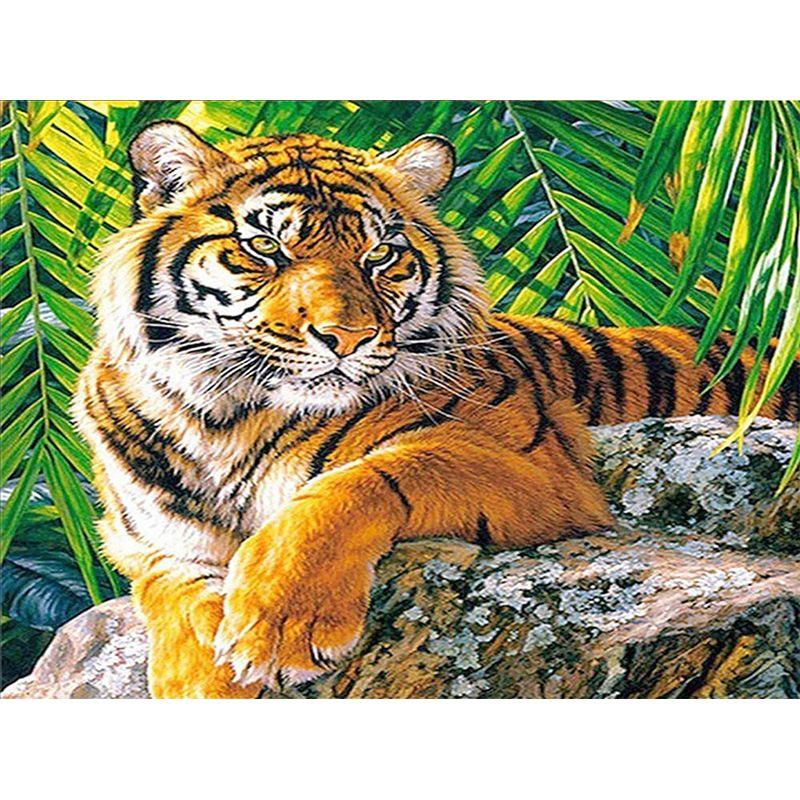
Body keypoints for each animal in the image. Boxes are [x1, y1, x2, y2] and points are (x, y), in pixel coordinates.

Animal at [74, 120, 800, 698]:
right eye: (266, 249)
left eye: (379, 255)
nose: (347, 338)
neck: (223, 413)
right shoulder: (139, 535)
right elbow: (172, 586)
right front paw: (200, 677)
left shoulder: (538, 464)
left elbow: (355, 486)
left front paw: (281, 622)